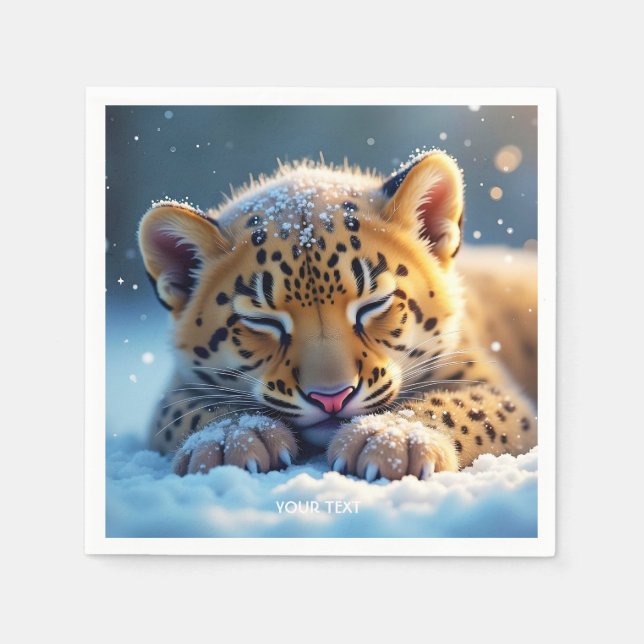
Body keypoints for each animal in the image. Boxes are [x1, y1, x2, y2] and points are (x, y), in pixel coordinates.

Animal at [138, 150, 537, 481]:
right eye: (263, 321)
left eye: (374, 304)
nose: (331, 397)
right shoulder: (174, 392)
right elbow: (191, 410)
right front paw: (230, 440)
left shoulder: (494, 386)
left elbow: (462, 406)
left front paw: (392, 439)